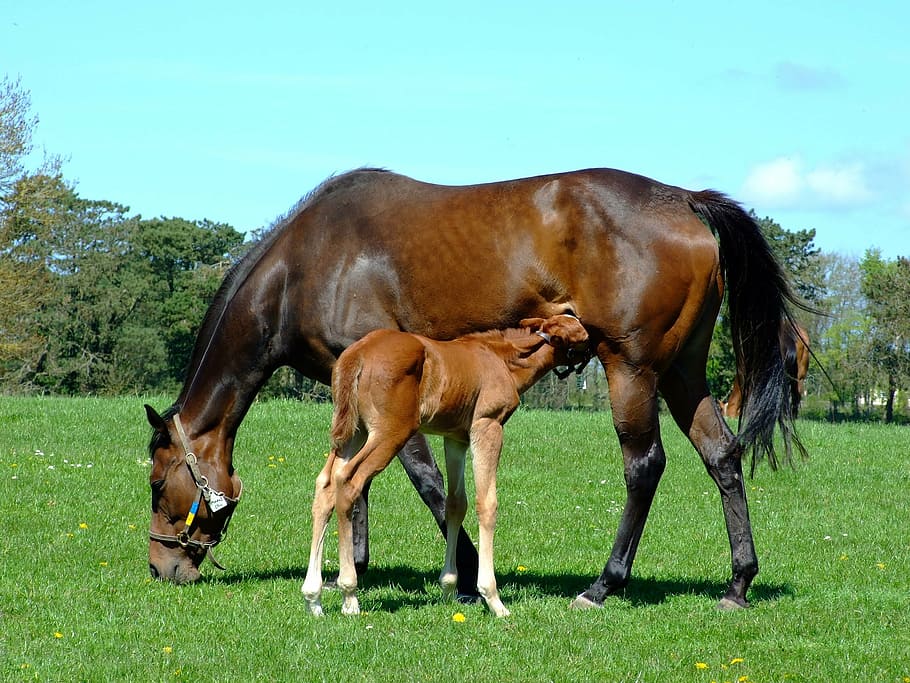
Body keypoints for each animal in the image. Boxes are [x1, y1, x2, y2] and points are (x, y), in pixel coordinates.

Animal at [302, 314, 590, 617]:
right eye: (583, 333)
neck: (503, 359)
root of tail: (356, 354)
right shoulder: (487, 426)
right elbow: (486, 503)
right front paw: (493, 598)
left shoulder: (455, 439)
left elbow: (455, 504)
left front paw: (449, 588)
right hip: (390, 432)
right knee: (349, 481)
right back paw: (349, 594)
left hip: (353, 431)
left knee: (326, 483)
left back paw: (313, 597)